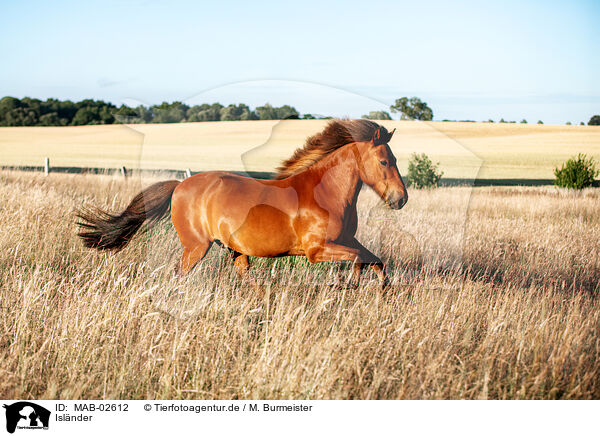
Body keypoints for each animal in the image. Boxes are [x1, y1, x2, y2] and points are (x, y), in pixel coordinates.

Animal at [77, 119, 408, 292]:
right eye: (384, 161)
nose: (401, 199)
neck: (325, 192)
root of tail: (179, 186)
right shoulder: (318, 251)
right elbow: (360, 259)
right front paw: (348, 285)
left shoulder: (346, 239)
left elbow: (374, 259)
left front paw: (379, 288)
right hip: (196, 247)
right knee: (180, 274)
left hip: (236, 251)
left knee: (246, 277)